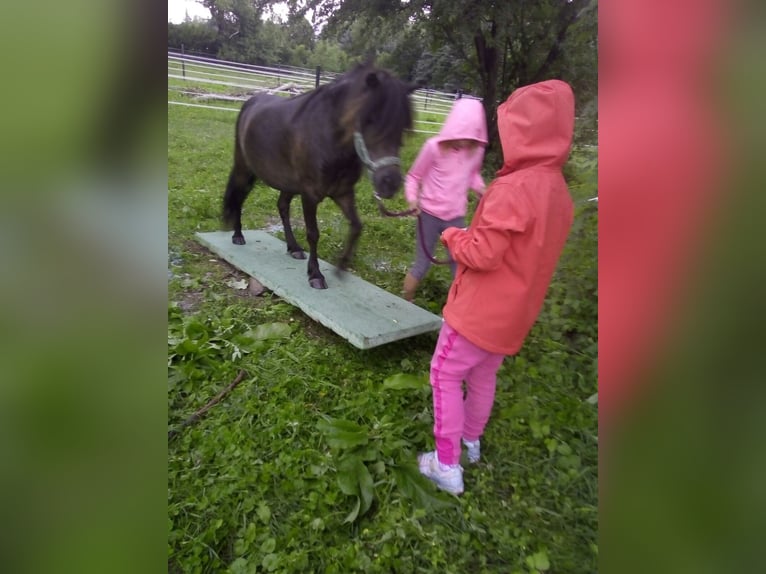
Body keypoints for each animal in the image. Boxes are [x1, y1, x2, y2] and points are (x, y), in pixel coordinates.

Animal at [222, 62, 418, 289]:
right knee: (239, 198)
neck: (329, 140)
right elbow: (313, 233)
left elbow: (357, 226)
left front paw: (341, 266)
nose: (390, 183)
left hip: (288, 183)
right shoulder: (310, 195)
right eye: (369, 120)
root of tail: (250, 103)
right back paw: (238, 235)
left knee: (282, 206)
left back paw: (293, 248)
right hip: (245, 170)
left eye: (403, 126)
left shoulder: (343, 193)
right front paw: (315, 274)